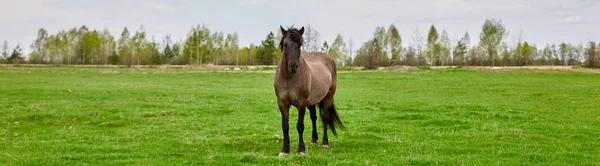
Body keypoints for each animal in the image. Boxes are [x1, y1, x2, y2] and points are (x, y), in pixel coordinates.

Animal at [274, 25, 344, 156]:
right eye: (285, 44)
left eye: (299, 45)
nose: (293, 66)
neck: (288, 78)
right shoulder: (282, 103)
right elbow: (285, 126)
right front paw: (285, 150)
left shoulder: (301, 104)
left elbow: (300, 126)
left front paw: (301, 149)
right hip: (311, 102)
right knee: (314, 117)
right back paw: (314, 140)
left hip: (328, 97)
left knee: (325, 118)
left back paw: (324, 143)